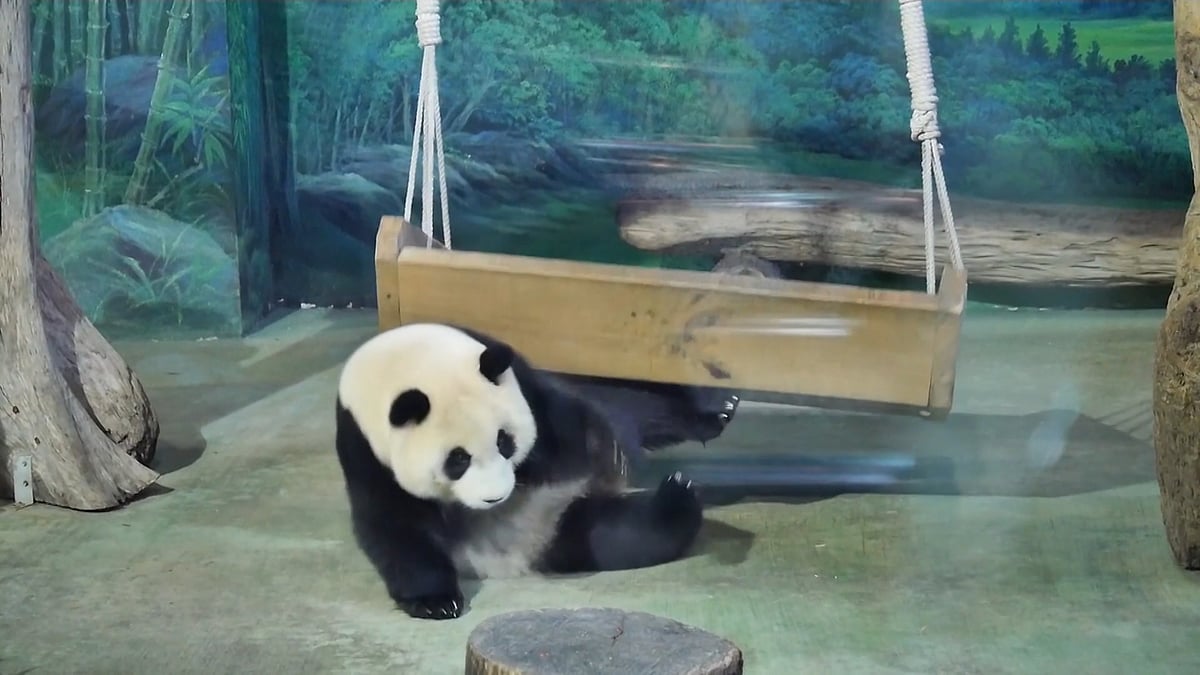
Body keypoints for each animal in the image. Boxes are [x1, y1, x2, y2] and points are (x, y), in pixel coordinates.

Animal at [334, 322, 708, 620]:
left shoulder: (526, 383)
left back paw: (683, 480)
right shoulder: (365, 451)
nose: (495, 498)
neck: (407, 357)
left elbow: (569, 428)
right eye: (457, 459)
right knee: (612, 534)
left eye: (504, 441)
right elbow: (395, 528)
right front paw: (436, 602)